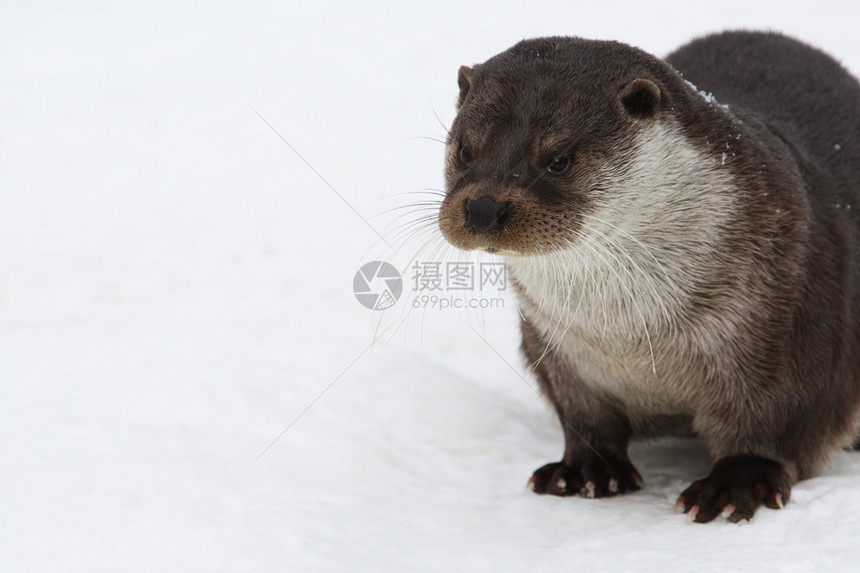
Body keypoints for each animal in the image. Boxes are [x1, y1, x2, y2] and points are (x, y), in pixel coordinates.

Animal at [436, 31, 860, 524]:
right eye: (465, 150)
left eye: (559, 158)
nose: (483, 208)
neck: (634, 338)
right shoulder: (558, 348)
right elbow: (583, 419)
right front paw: (585, 470)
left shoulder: (788, 327)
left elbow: (772, 423)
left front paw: (734, 483)